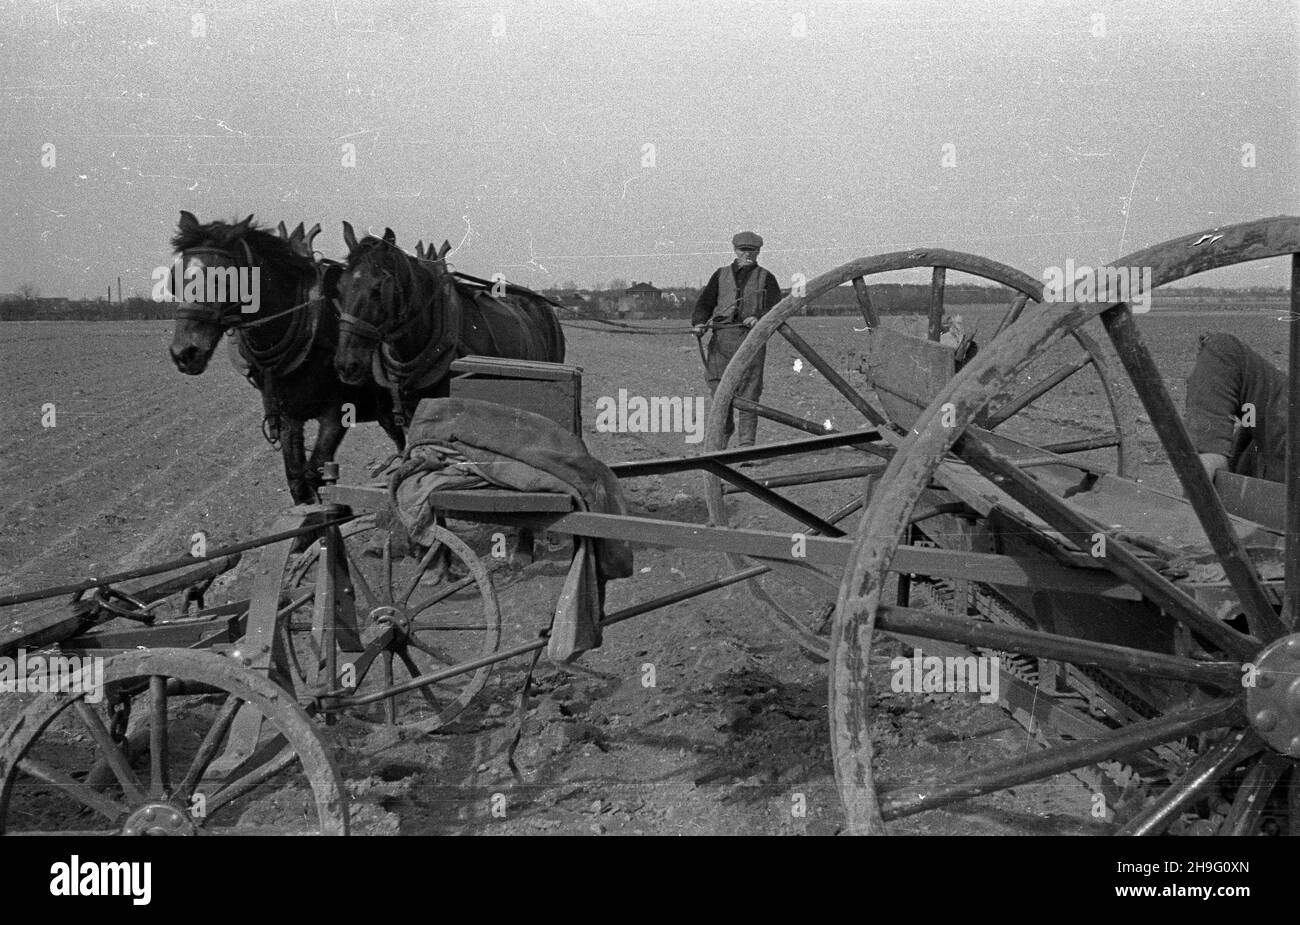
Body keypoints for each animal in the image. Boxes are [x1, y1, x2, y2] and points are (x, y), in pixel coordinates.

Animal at [167, 211, 403, 506]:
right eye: (175, 279)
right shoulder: (289, 416)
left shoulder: (336, 412)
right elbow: (297, 482)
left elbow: (315, 473)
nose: (184, 353)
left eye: (224, 279)